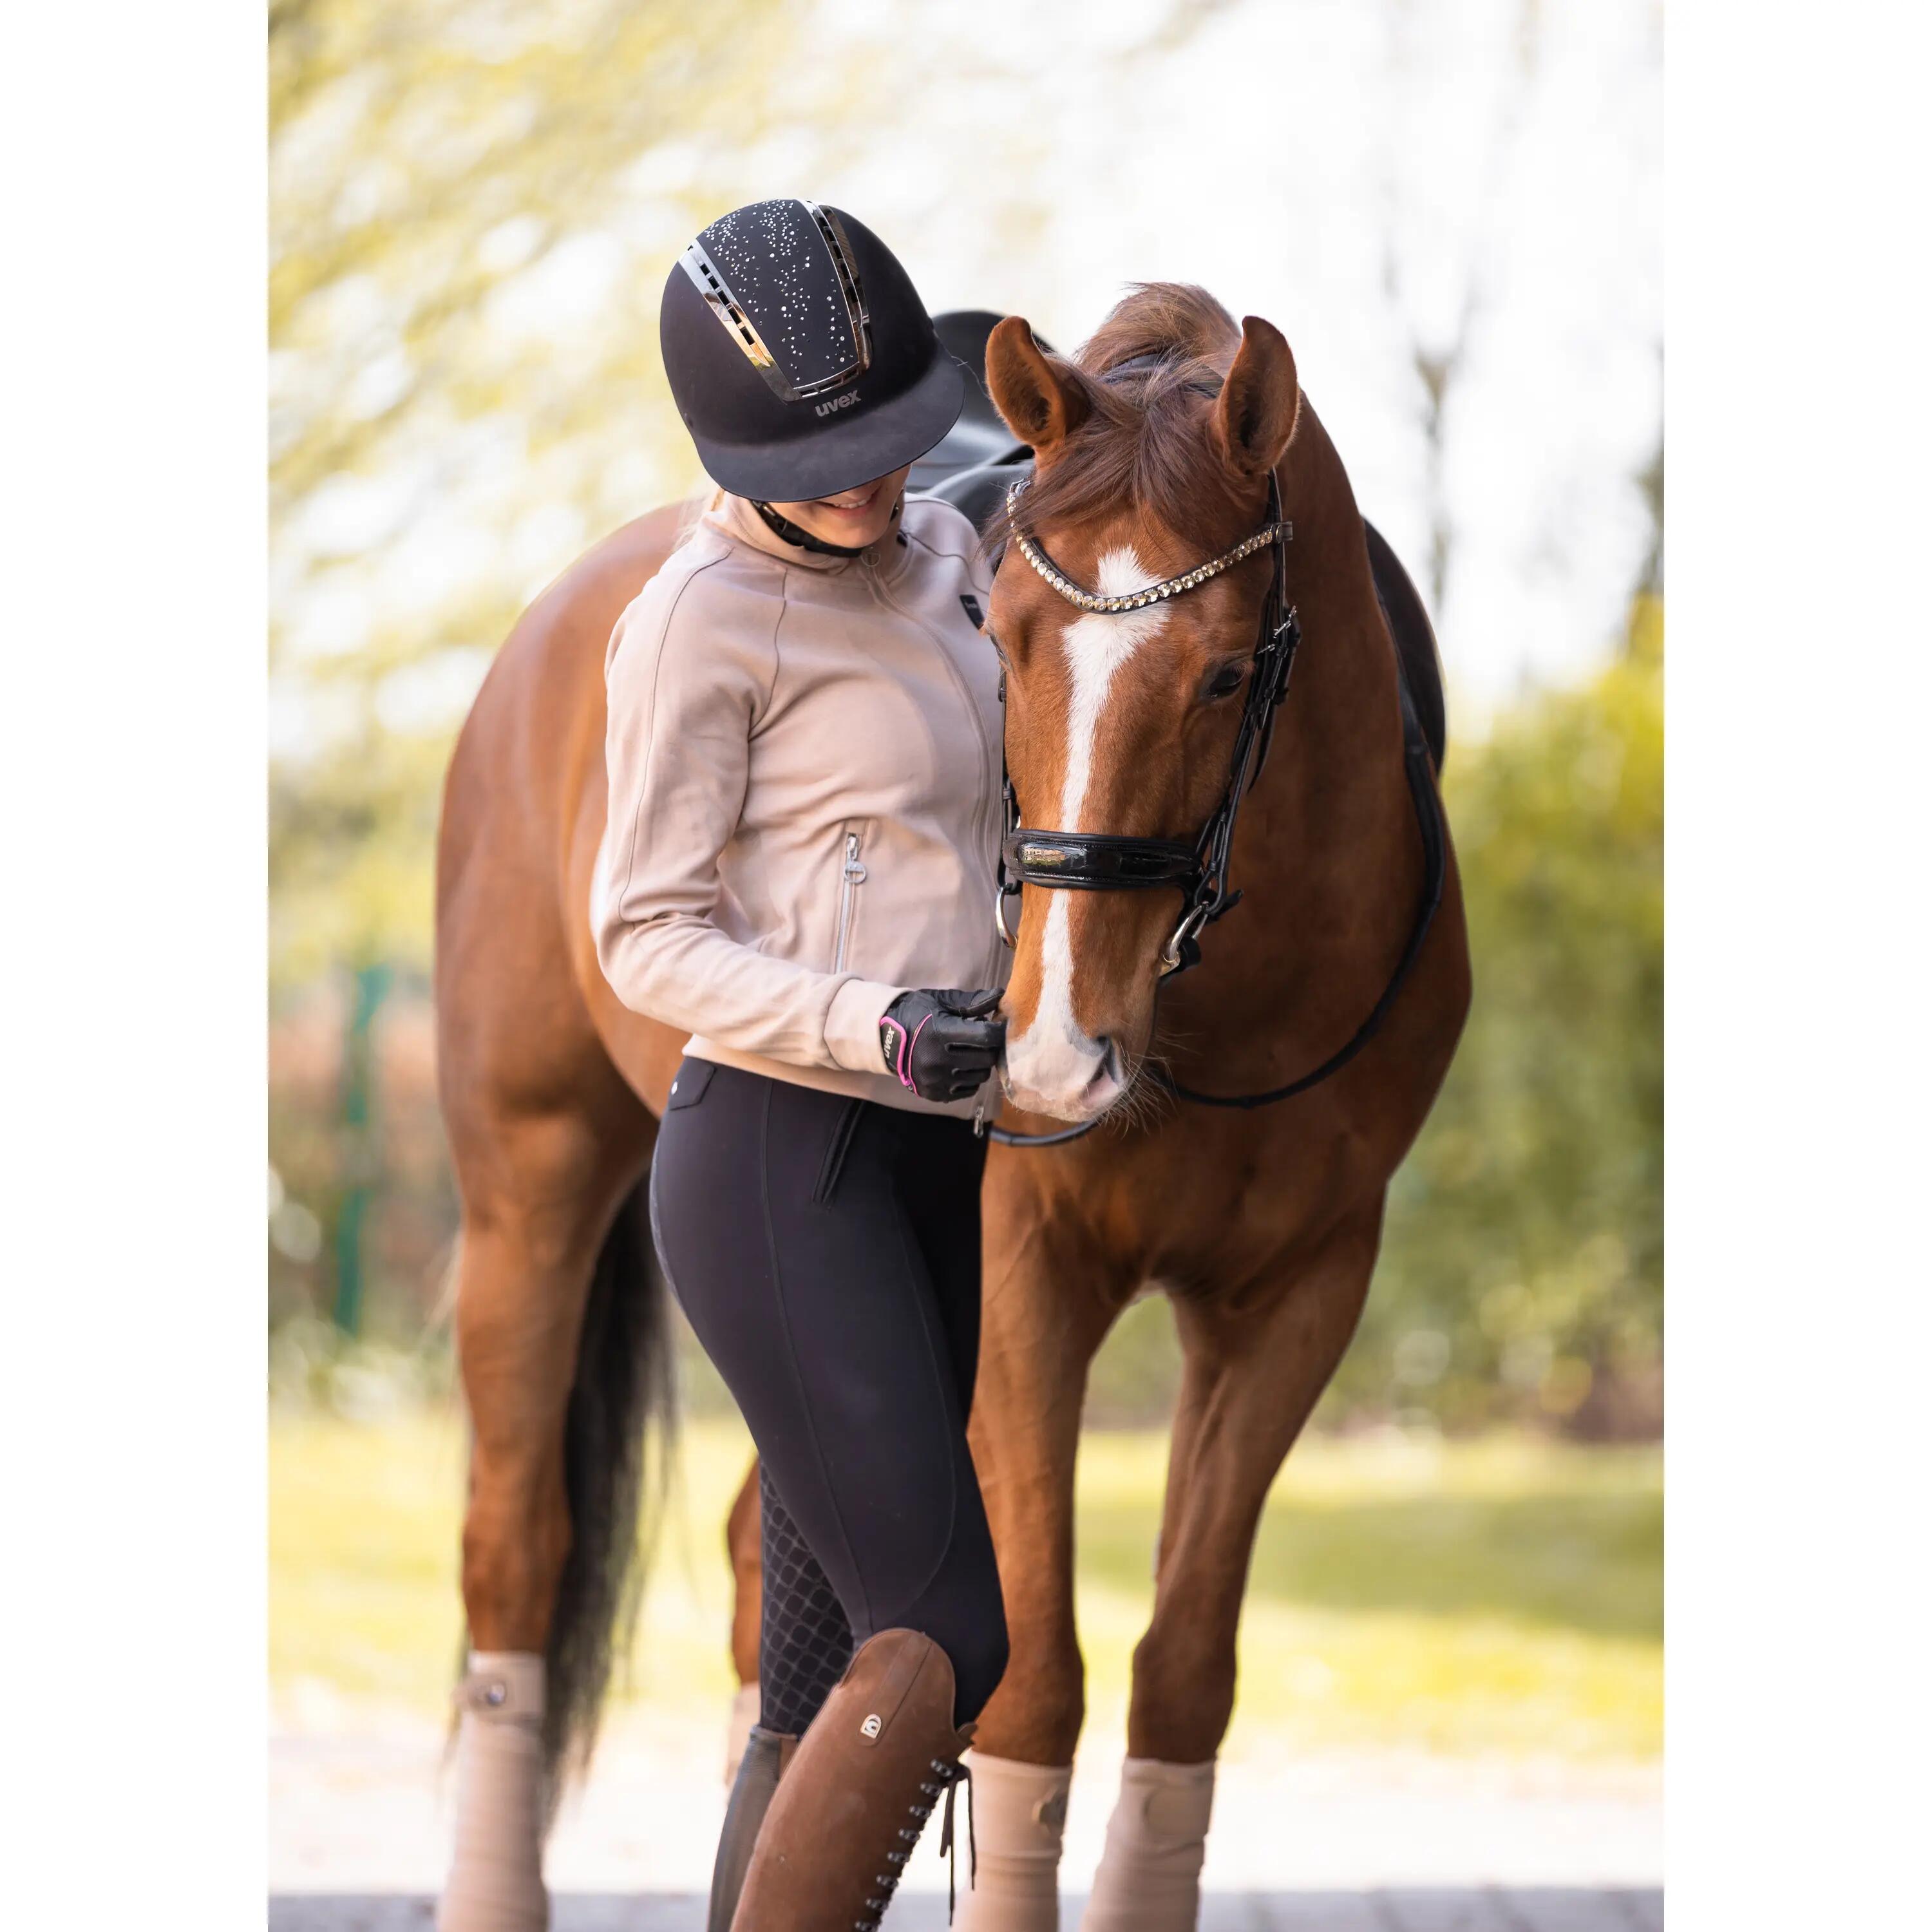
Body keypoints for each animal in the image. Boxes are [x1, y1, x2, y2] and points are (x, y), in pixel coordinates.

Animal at [433, 284, 1468, 1926]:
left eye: (1226, 672)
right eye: (1011, 640)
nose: (1051, 1054)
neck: (1236, 994)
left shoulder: (1299, 1294)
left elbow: (1182, 1675)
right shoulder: (1026, 1281)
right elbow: (1032, 1680)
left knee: (789, 1615)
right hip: (528, 1193)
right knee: (516, 1557)